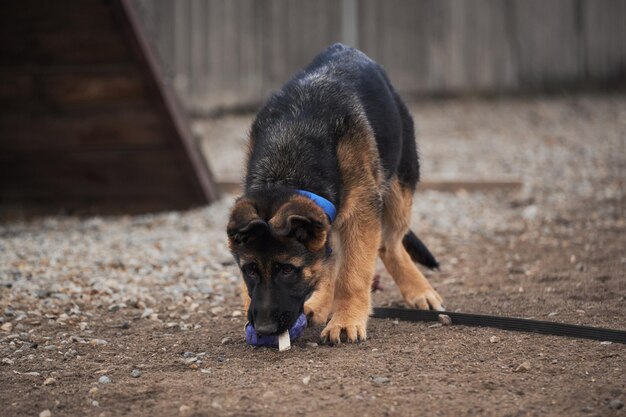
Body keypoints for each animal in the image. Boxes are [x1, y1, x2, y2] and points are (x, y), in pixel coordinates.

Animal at [227, 43, 442, 344]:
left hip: (399, 190)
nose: (264, 330)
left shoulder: (360, 214)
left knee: (389, 244)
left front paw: (346, 320)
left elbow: (352, 274)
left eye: (287, 269)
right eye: (250, 270)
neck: (287, 168)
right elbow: (327, 265)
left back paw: (418, 289)